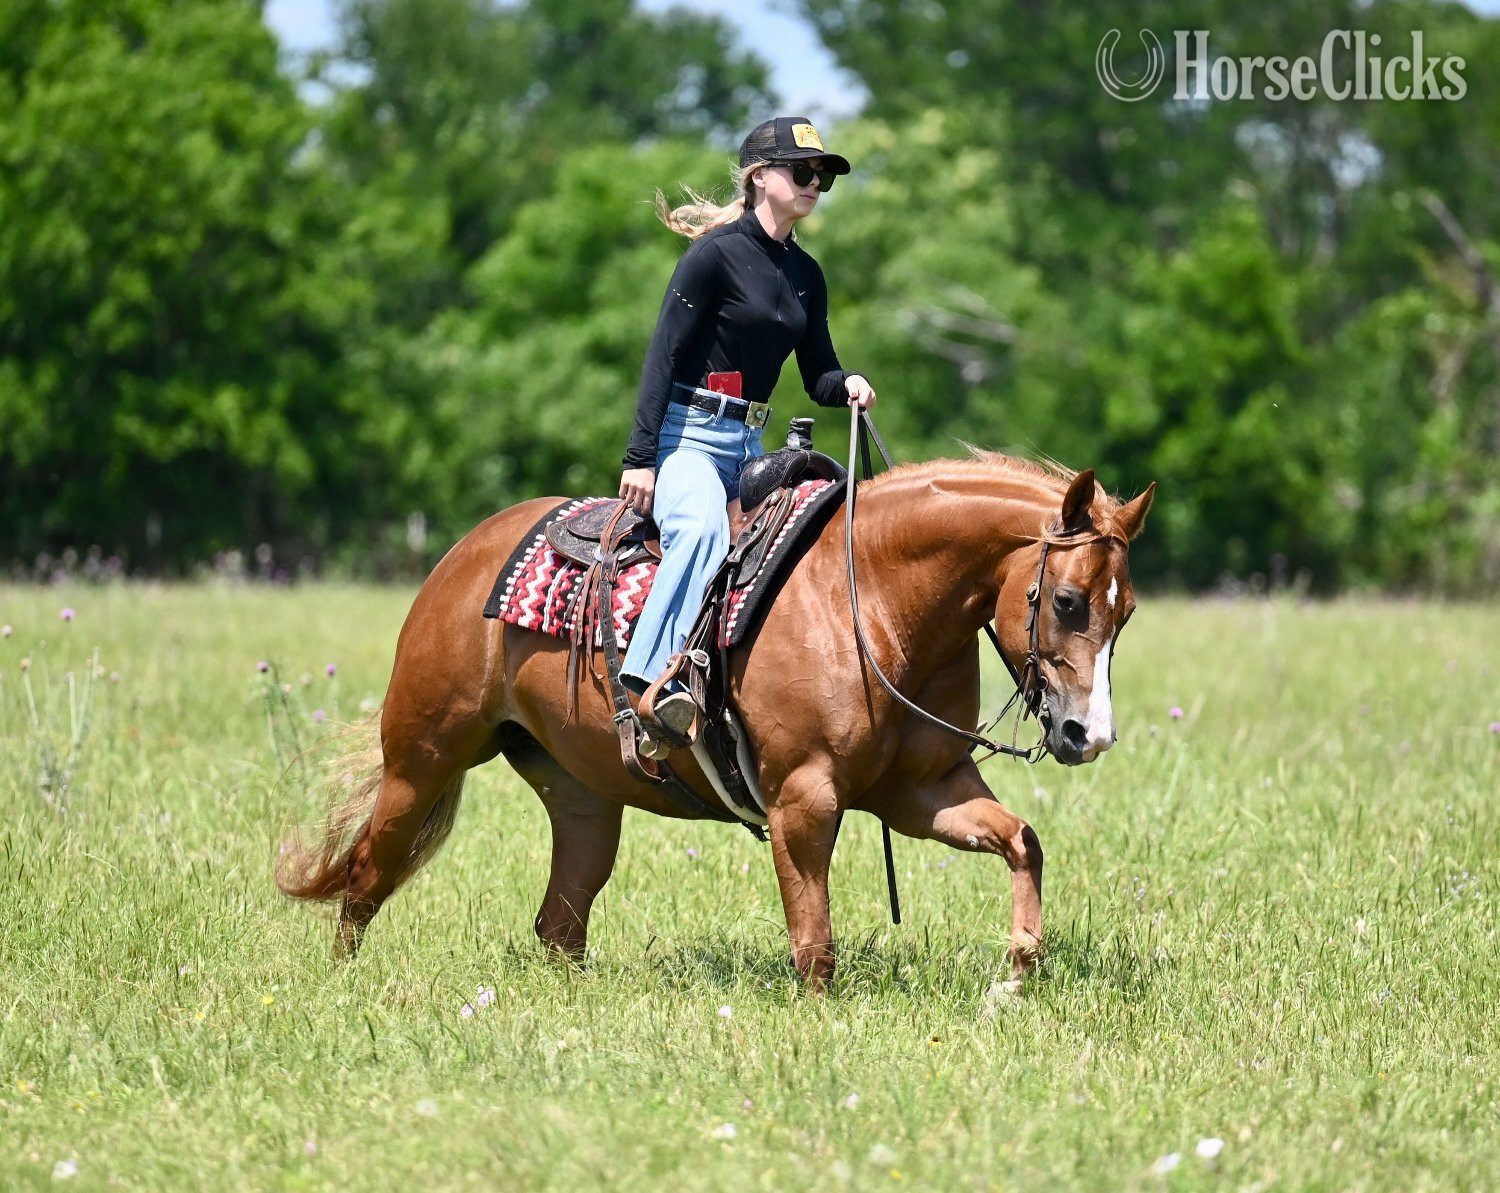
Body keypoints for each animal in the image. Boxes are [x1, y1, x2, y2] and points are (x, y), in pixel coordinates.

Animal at [278, 452, 1154, 990]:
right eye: (1067, 601)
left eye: (1127, 612)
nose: (1089, 736)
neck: (871, 598)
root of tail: (464, 554)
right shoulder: (804, 798)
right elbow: (814, 942)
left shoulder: (923, 789)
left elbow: (1021, 840)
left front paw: (1016, 972)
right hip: (422, 760)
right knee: (365, 876)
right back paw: (343, 982)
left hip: (581, 798)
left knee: (560, 919)